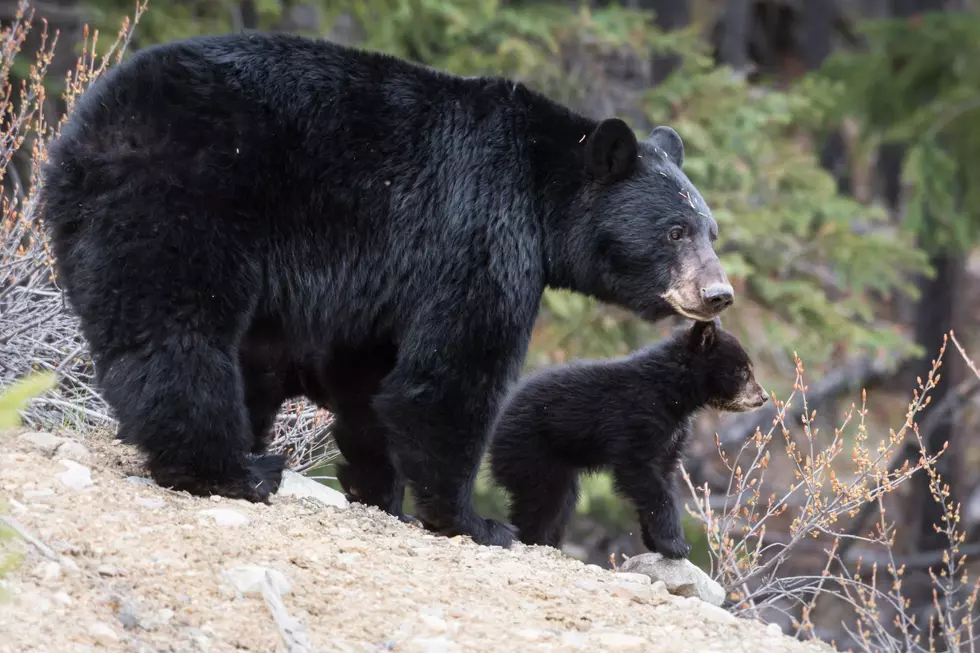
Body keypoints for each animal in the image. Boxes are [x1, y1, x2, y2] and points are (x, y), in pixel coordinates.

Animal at [40, 33, 736, 548]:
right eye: (674, 232)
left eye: (711, 230)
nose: (718, 293)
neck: (542, 190)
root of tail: (89, 127)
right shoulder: (480, 230)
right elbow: (453, 373)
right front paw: (474, 521)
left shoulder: (378, 287)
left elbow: (369, 380)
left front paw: (382, 494)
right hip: (188, 198)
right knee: (178, 330)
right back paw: (232, 469)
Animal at [490, 318, 764, 556]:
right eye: (743, 372)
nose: (762, 397)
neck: (673, 393)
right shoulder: (636, 419)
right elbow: (642, 475)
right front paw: (675, 545)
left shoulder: (672, 436)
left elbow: (663, 477)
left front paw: (655, 542)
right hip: (532, 452)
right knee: (544, 500)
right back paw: (535, 539)